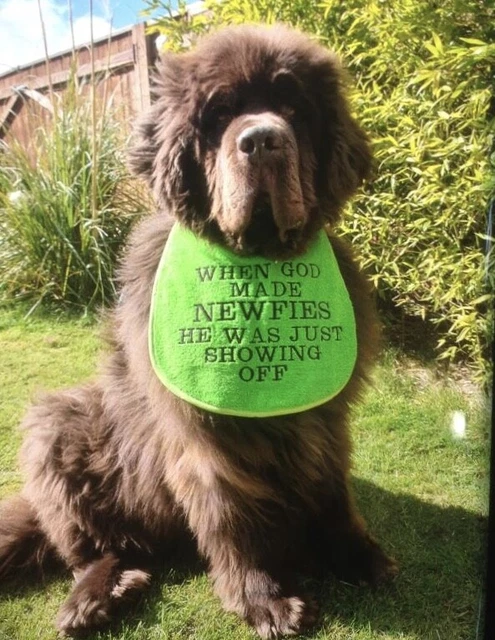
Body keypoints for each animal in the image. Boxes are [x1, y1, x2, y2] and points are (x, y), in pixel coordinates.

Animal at [0, 25, 400, 640]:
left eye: (294, 109)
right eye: (221, 113)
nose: (262, 141)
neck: (257, 264)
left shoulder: (327, 416)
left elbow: (333, 486)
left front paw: (355, 555)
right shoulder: (204, 432)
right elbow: (229, 511)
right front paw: (263, 597)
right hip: (62, 426)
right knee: (91, 545)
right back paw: (97, 593)